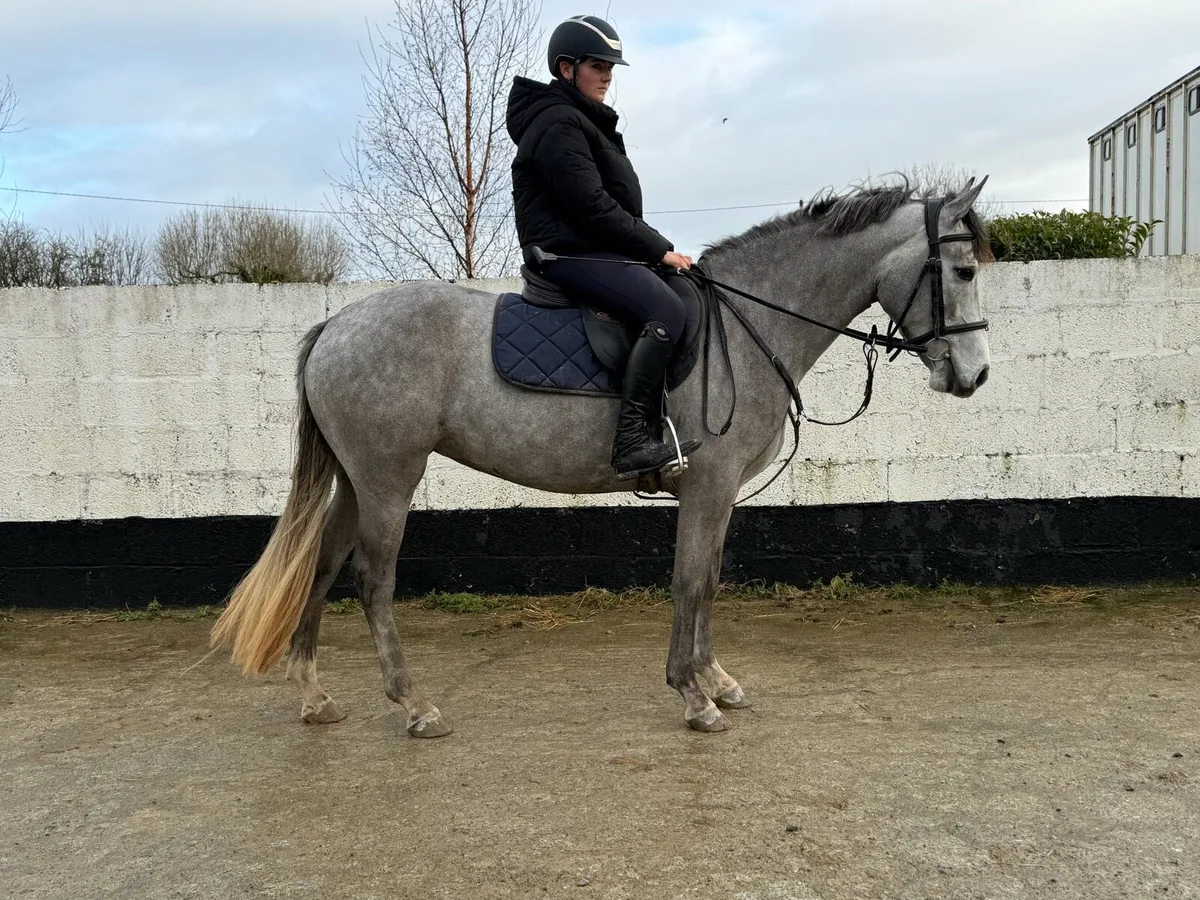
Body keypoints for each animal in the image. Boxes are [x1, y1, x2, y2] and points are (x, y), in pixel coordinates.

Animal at [211, 177, 994, 735]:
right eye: (960, 270)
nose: (976, 376)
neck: (748, 325)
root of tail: (335, 324)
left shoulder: (719, 495)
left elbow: (709, 580)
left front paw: (718, 681)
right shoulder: (707, 485)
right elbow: (689, 582)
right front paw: (693, 698)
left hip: (356, 480)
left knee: (322, 565)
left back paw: (315, 697)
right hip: (388, 479)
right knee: (373, 581)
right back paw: (414, 705)